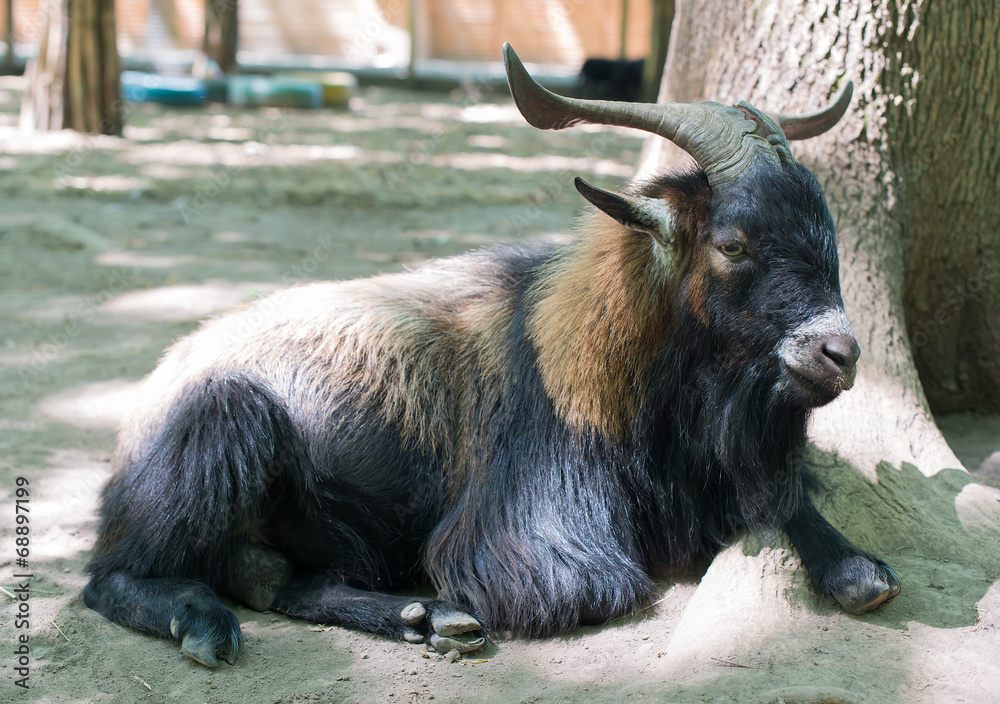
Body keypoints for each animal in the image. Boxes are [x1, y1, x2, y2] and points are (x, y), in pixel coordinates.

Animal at [83, 44, 900, 667]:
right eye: (732, 244)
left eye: (826, 234)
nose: (840, 353)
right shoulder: (520, 541)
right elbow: (611, 584)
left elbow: (782, 512)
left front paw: (858, 568)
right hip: (225, 417)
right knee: (109, 577)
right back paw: (206, 624)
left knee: (283, 582)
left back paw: (423, 619)